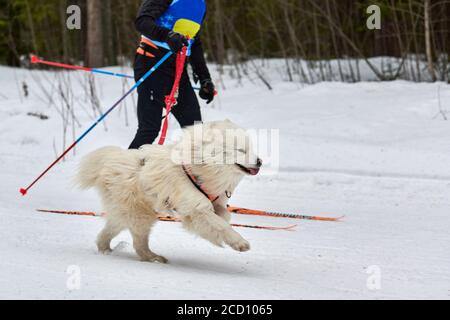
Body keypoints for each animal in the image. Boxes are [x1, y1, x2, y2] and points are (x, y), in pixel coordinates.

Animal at [76, 120, 262, 262]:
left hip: (131, 213)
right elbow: (220, 225)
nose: (260, 161)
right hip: (140, 214)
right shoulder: (197, 209)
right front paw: (240, 243)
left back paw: (105, 249)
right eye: (241, 150)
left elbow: (224, 216)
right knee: (138, 242)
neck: (199, 169)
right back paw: (153, 258)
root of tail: (110, 161)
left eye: (251, 149)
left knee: (110, 230)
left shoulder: (215, 202)